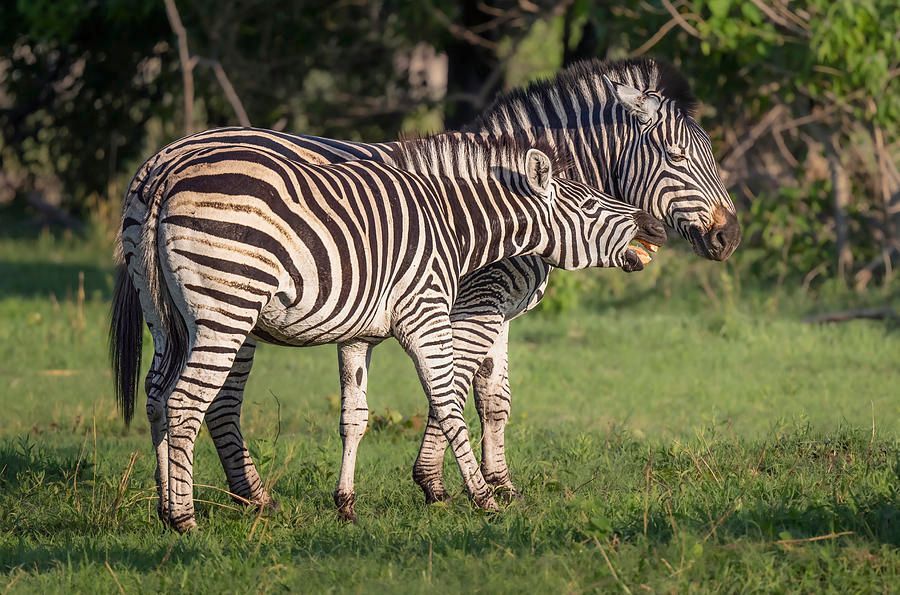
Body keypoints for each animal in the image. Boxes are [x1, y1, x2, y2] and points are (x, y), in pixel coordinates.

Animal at [118, 57, 740, 521]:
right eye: (679, 156)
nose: (730, 236)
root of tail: (167, 160)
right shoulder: (473, 303)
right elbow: (454, 391)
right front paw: (438, 483)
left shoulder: (495, 309)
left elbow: (493, 397)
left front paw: (500, 483)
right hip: (231, 308)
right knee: (210, 400)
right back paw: (233, 501)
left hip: (165, 310)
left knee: (159, 392)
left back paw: (181, 500)